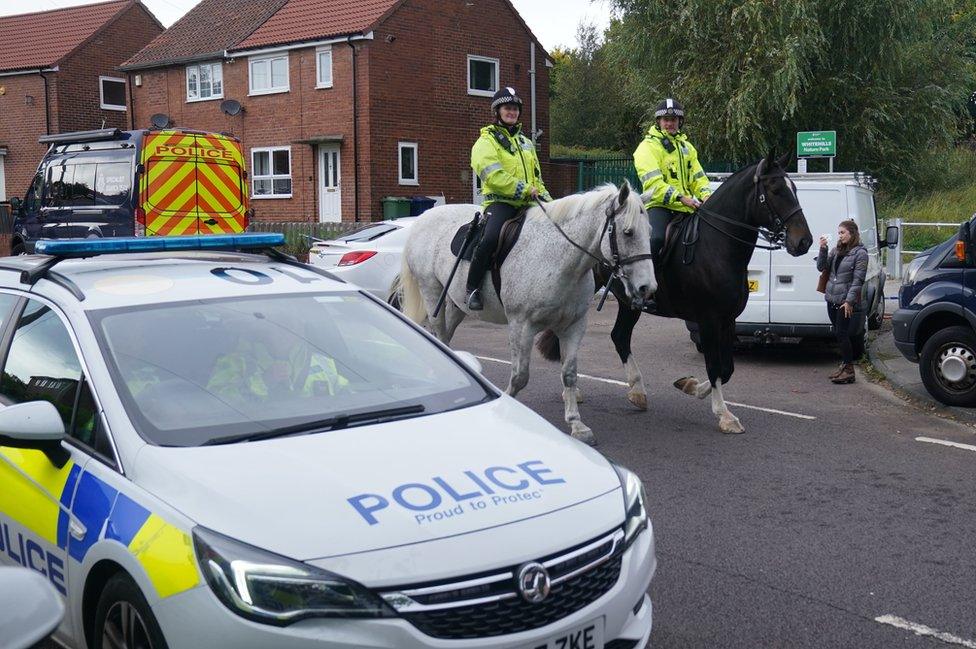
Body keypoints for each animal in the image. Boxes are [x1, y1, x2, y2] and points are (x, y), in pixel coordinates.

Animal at [396, 182, 656, 446]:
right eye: (628, 232)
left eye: (649, 231)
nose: (648, 288)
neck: (558, 259)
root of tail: (423, 218)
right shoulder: (521, 325)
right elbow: (520, 376)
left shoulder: (574, 326)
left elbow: (569, 374)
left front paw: (577, 424)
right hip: (432, 293)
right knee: (438, 333)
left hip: (457, 305)